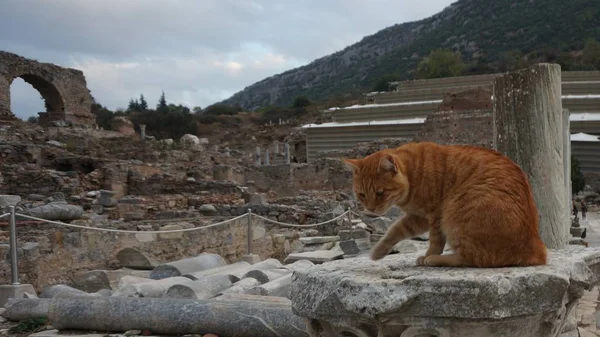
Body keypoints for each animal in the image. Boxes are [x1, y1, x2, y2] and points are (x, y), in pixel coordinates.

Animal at [344, 140, 548, 266]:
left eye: (380, 193)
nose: (370, 208)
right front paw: (379, 251)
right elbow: (395, 230)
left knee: (475, 258)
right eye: (361, 195)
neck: (413, 174)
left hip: (454, 213)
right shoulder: (418, 217)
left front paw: (428, 254)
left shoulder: (435, 215)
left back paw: (434, 259)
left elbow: (435, 240)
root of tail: (536, 250)